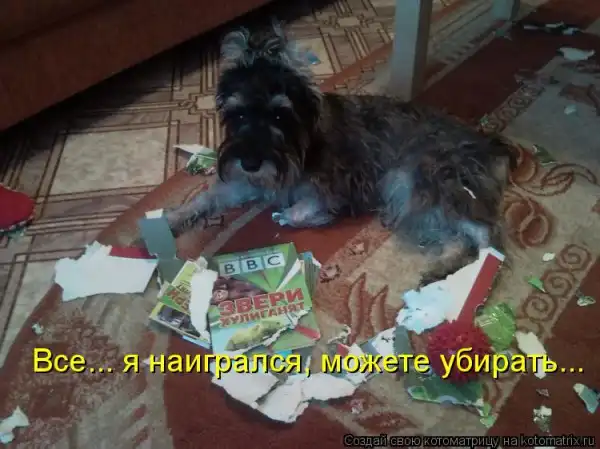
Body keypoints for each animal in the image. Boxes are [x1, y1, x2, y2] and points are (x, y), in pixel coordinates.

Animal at [166, 22, 515, 287]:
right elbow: (207, 197)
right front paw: (171, 218)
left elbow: (307, 206)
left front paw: (297, 215)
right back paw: (445, 269)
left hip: (415, 179)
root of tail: (484, 143)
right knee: (459, 236)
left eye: (279, 114)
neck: (304, 139)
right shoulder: (244, 181)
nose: (251, 162)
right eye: (237, 114)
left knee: (486, 232)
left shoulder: (341, 184)